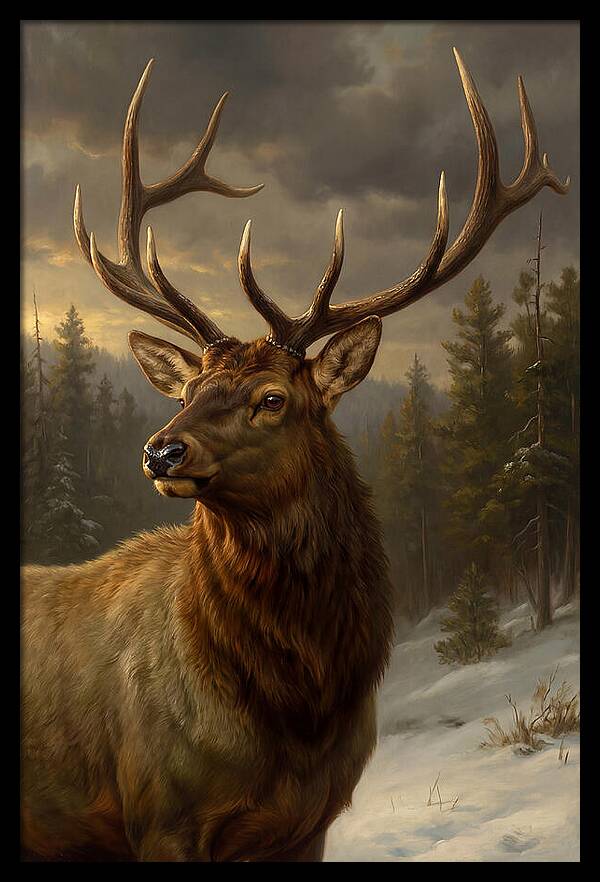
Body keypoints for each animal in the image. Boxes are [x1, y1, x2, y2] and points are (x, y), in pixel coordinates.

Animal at [21, 49, 569, 862]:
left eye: (273, 398)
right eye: (188, 388)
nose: (160, 451)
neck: (296, 712)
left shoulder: (310, 821)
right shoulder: (158, 813)